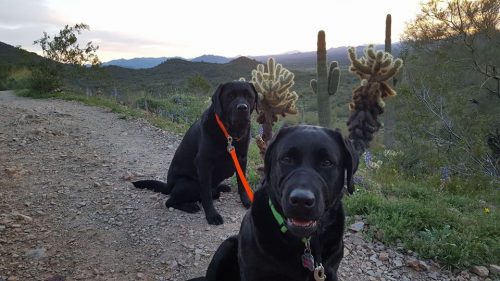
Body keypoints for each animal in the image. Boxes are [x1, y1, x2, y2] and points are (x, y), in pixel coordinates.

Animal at [133, 80, 258, 223]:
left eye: (249, 96)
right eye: (230, 96)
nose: (242, 108)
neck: (230, 134)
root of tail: (168, 186)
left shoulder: (242, 159)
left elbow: (242, 184)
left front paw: (246, 201)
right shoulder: (204, 163)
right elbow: (206, 194)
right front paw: (212, 215)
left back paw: (220, 189)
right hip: (190, 183)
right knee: (170, 201)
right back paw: (190, 206)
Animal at [190, 125, 360, 280]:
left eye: (327, 162)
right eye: (286, 159)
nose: (301, 200)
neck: (306, 243)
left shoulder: (329, 270)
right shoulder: (253, 272)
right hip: (227, 245)